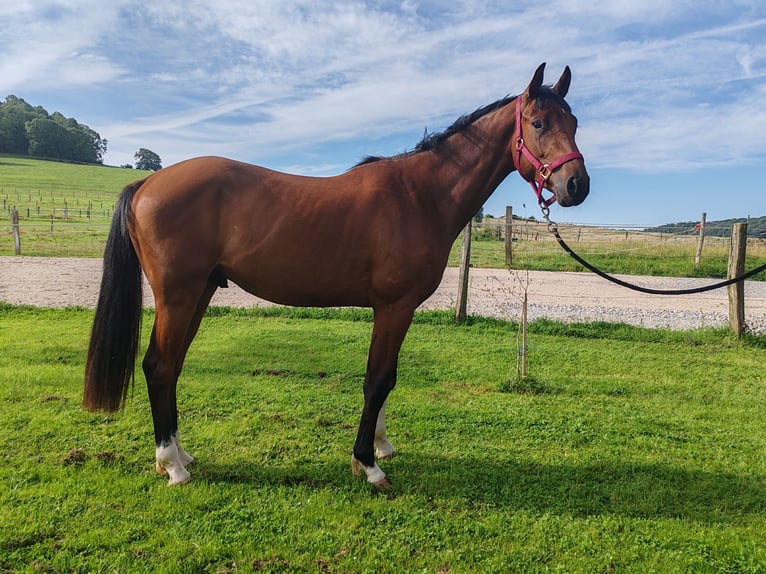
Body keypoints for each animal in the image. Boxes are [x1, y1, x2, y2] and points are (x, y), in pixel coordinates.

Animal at [84, 63, 592, 488]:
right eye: (539, 123)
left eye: (573, 123)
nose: (577, 186)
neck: (419, 195)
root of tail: (147, 183)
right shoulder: (394, 307)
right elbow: (377, 380)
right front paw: (368, 464)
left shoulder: (396, 311)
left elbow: (387, 378)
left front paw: (381, 446)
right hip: (178, 295)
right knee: (159, 365)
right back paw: (172, 465)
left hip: (200, 292)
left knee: (172, 366)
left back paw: (180, 455)